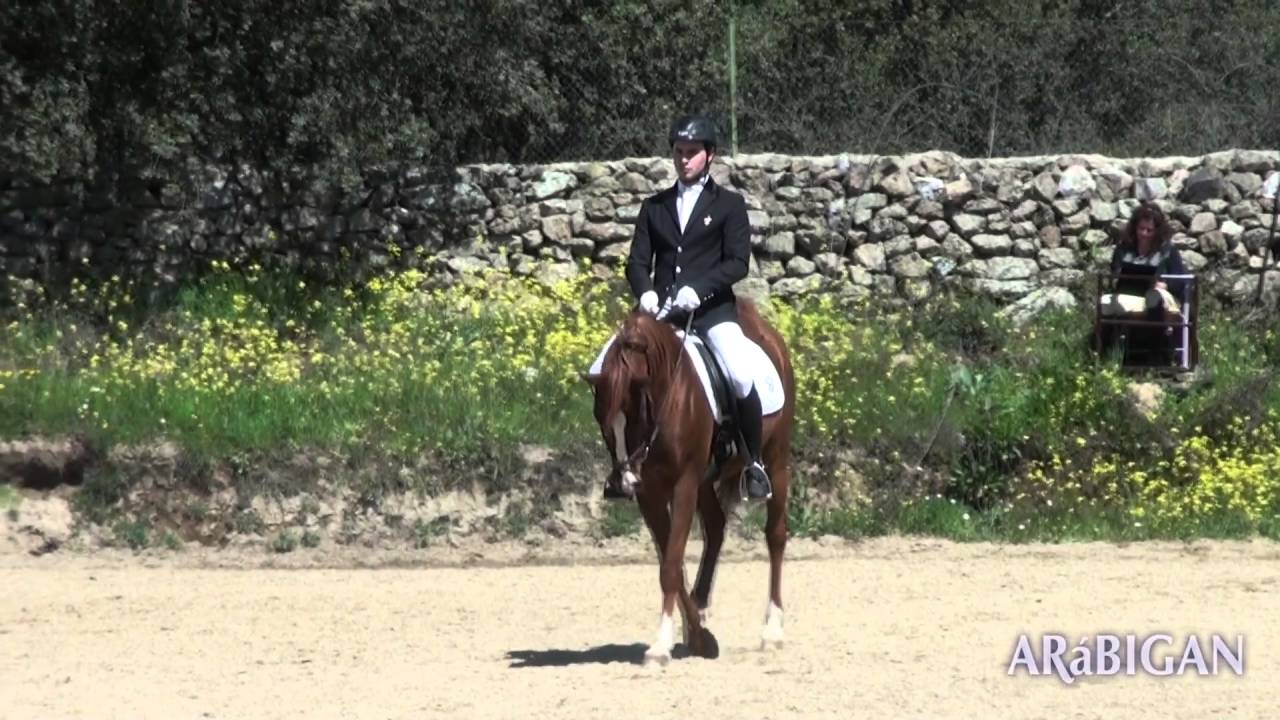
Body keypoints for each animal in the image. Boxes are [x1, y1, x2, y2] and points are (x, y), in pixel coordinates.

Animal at [582, 298, 796, 666]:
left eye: (638, 411)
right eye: (601, 418)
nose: (623, 481)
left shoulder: (682, 483)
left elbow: (670, 566)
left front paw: (661, 646)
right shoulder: (651, 493)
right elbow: (672, 562)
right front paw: (698, 636)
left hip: (775, 458)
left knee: (776, 536)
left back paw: (772, 631)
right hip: (705, 480)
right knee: (716, 527)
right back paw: (701, 607)